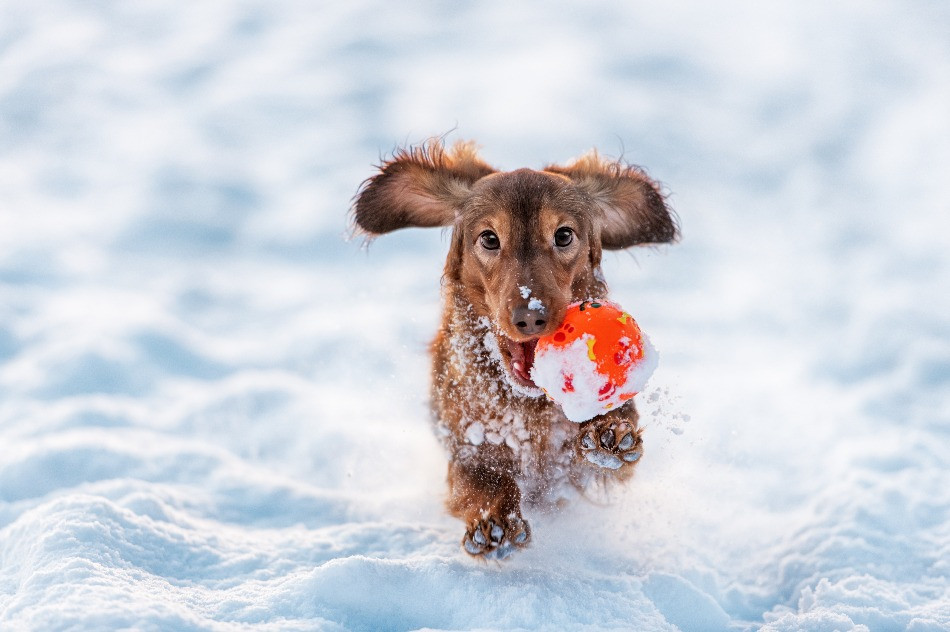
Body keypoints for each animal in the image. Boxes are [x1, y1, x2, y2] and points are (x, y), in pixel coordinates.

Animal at [356, 141, 676, 560]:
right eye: (490, 239)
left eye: (564, 235)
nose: (531, 316)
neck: (528, 407)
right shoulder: (467, 443)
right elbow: (482, 480)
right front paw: (495, 522)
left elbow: (611, 448)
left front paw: (608, 432)